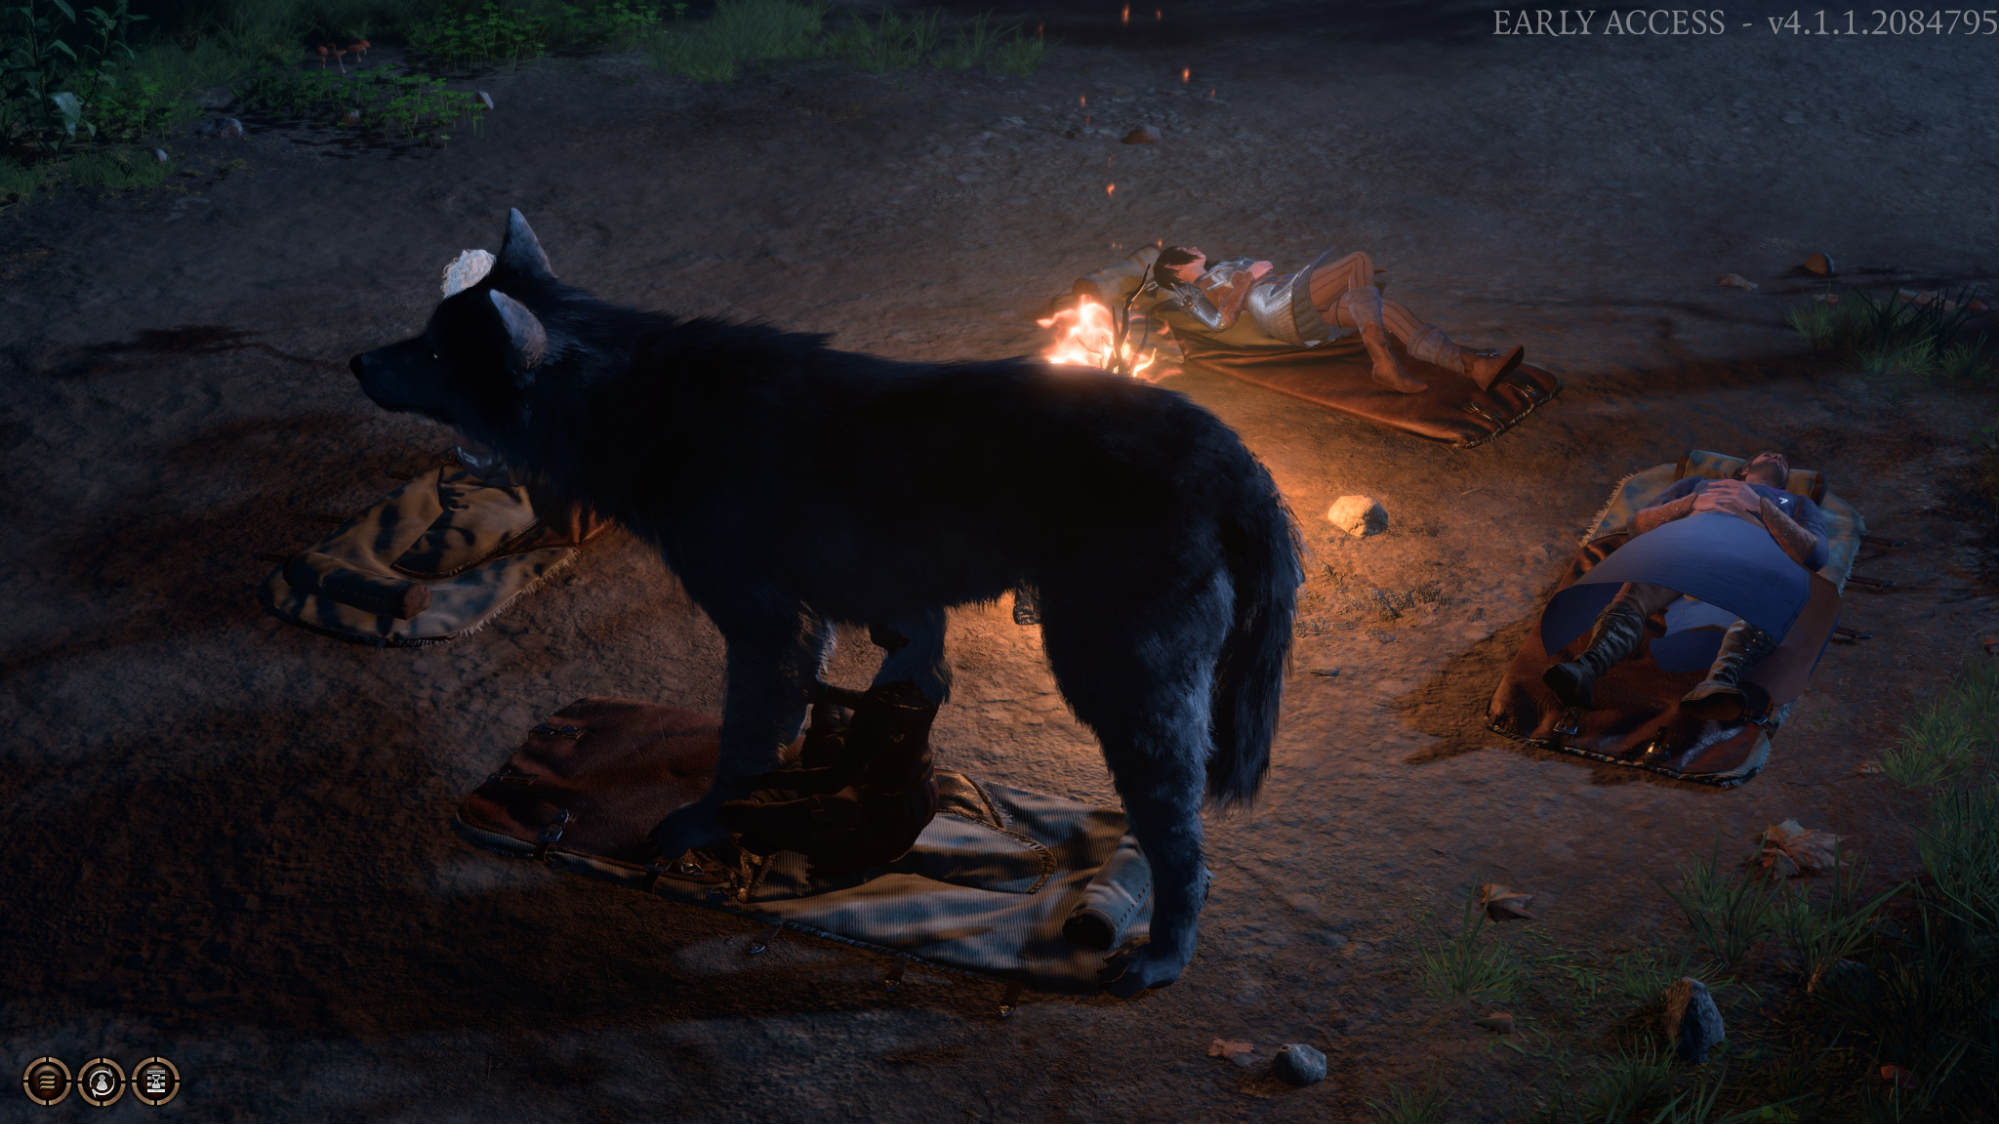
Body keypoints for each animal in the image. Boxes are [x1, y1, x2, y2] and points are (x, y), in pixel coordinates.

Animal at [350, 210, 1303, 994]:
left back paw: (1161, 953)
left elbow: (743, 746)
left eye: (434, 352)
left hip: (1115, 680)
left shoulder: (767, 626)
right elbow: (868, 706)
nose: (354, 359)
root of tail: (1236, 456)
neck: (641, 394)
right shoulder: (875, 621)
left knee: (1180, 843)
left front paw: (708, 825)